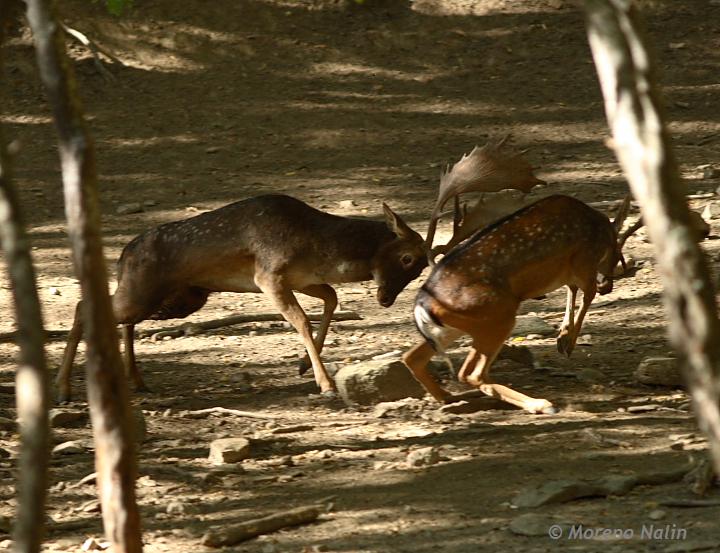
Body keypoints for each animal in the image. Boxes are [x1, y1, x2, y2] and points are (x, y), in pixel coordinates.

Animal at [59, 194, 428, 402]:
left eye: (423, 267)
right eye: (407, 258)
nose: (385, 299)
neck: (318, 248)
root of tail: (123, 257)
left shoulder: (303, 279)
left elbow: (331, 298)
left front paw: (302, 365)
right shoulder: (268, 275)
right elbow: (302, 321)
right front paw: (325, 384)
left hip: (175, 298)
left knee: (120, 319)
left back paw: (136, 381)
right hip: (144, 293)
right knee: (82, 306)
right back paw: (64, 390)